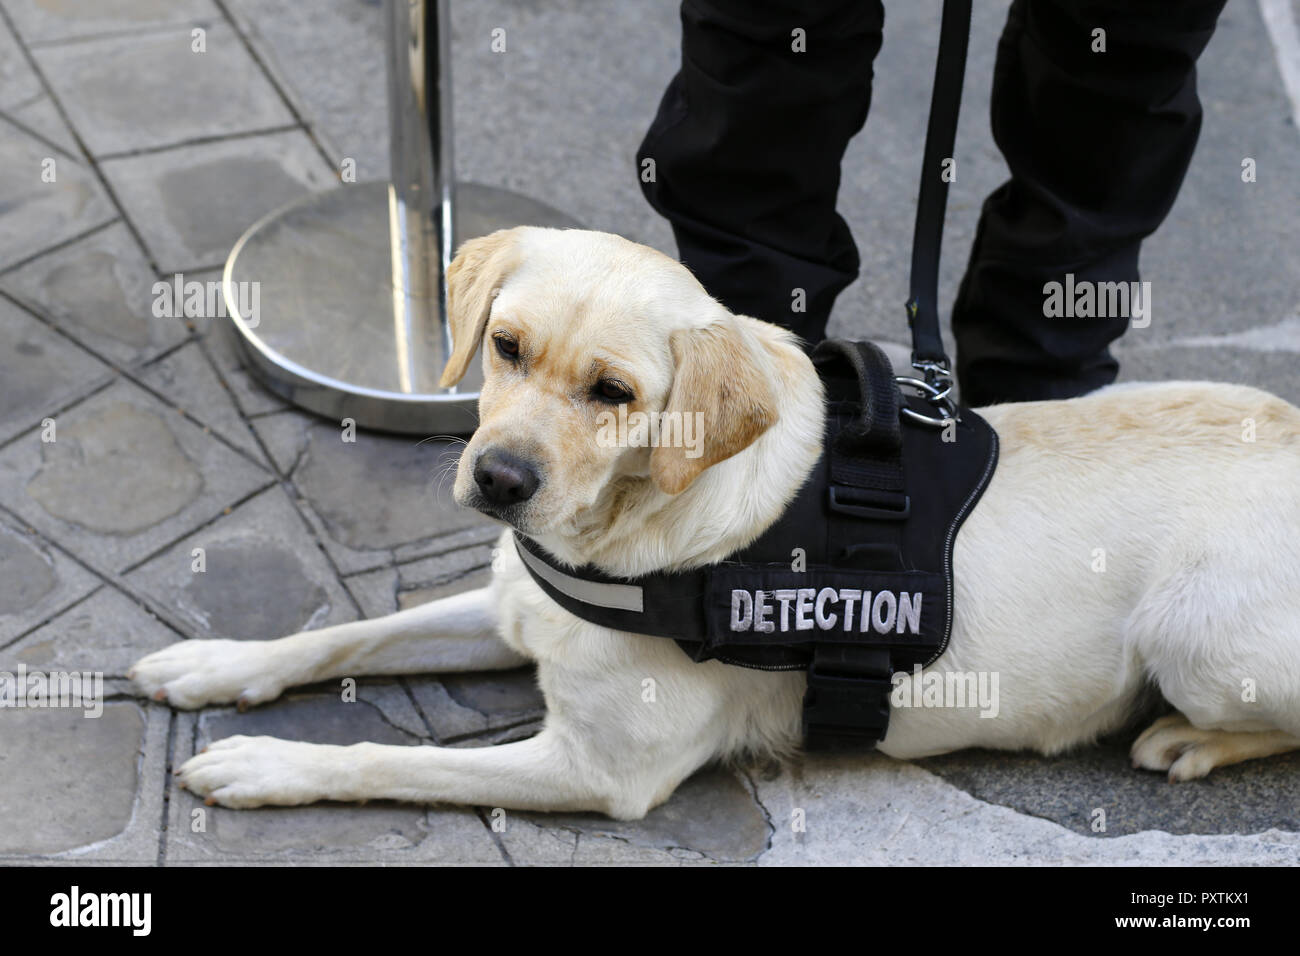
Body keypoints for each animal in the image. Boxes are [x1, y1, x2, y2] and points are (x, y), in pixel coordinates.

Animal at [129, 227, 1300, 816]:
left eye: (613, 392)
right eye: (504, 345)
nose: (500, 478)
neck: (632, 530)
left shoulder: (599, 772)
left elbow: (396, 761)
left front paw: (268, 764)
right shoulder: (515, 607)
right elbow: (345, 634)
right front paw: (218, 664)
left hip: (1196, 639)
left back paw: (1187, 739)